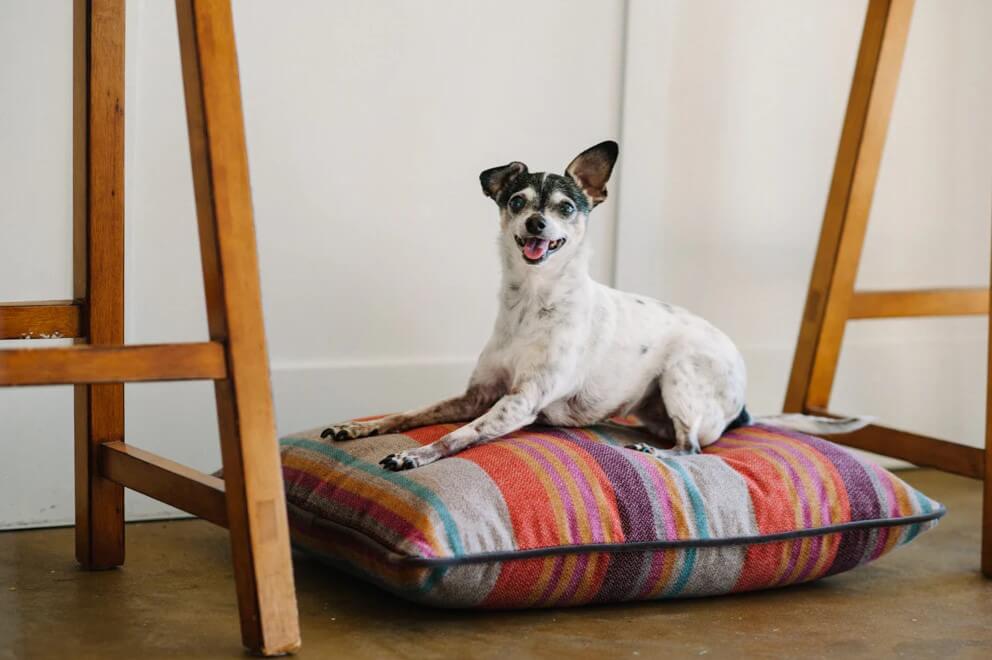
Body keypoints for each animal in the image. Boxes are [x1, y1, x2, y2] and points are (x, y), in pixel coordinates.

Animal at [320, 141, 868, 470]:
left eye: (566, 207)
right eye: (516, 201)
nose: (537, 224)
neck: (531, 301)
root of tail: (744, 408)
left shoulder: (516, 403)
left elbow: (459, 436)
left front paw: (416, 457)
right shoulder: (478, 394)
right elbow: (410, 413)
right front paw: (360, 426)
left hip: (682, 375)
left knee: (693, 447)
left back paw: (656, 453)